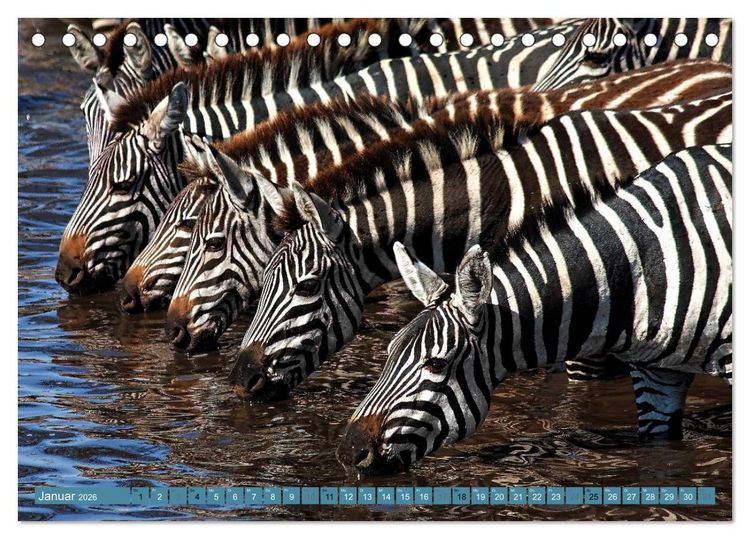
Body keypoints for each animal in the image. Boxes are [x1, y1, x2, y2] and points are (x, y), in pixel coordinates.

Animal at [338, 143, 732, 474]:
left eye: (436, 364)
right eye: (389, 354)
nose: (349, 451)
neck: (648, 264)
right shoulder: (656, 375)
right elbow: (658, 456)